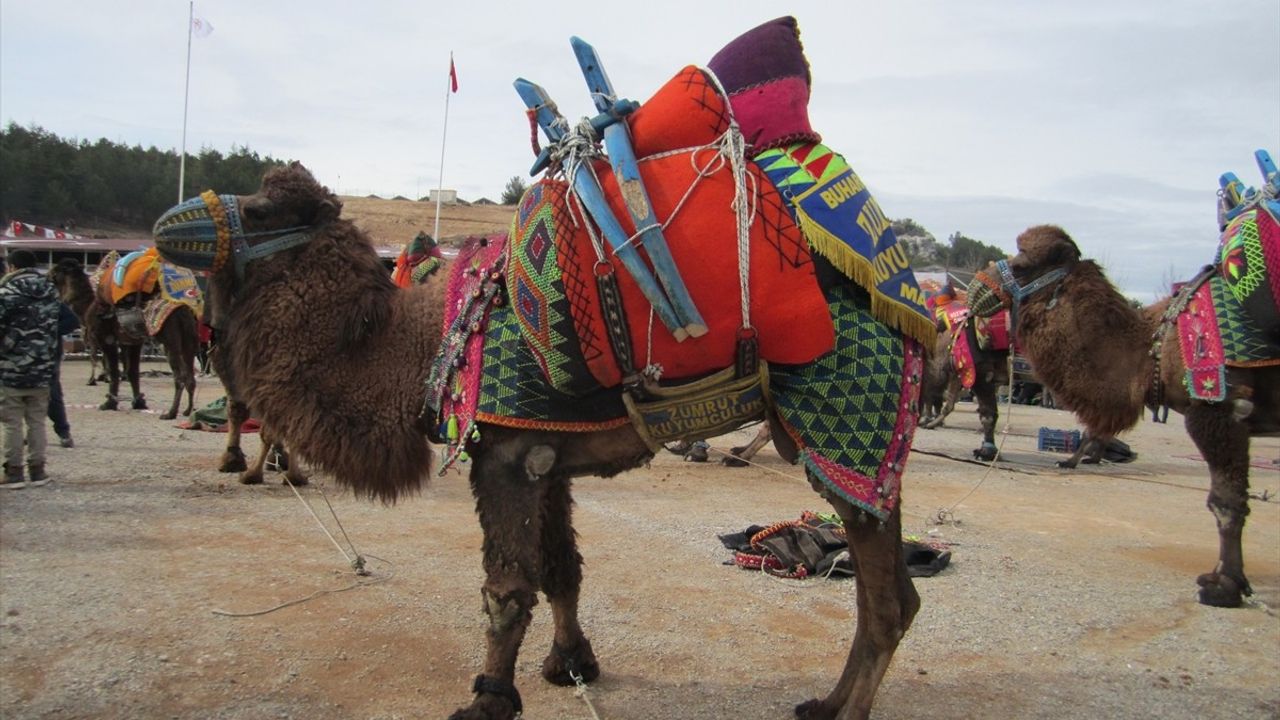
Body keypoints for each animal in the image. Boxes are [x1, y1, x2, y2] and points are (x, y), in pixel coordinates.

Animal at [154, 18, 936, 717]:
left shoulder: (505, 453)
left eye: (261, 210)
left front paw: (488, 698)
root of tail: (904, 286)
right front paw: (571, 664)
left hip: (845, 421)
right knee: (887, 593)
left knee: (888, 599)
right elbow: (563, 570)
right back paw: (823, 702)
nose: (168, 226)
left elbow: (505, 590)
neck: (420, 350)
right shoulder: (546, 453)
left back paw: (841, 708)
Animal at [967, 152, 1280, 604]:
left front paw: (1223, 584)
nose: (976, 287)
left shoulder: (1218, 408)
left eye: (1023, 264)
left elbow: (1225, 501)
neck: (1153, 346)